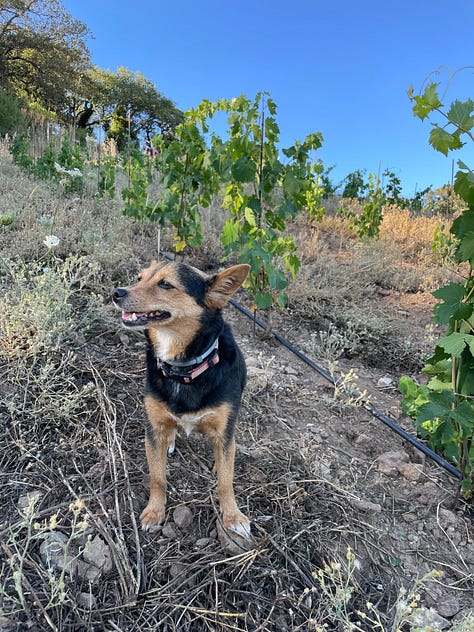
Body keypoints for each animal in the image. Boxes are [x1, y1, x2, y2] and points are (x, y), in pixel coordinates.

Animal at [112, 260, 252, 540]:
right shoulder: (153, 428)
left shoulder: (224, 431)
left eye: (166, 284)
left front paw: (233, 515)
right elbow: (157, 477)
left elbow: (226, 481)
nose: (116, 293)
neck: (183, 370)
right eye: (139, 278)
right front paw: (154, 511)